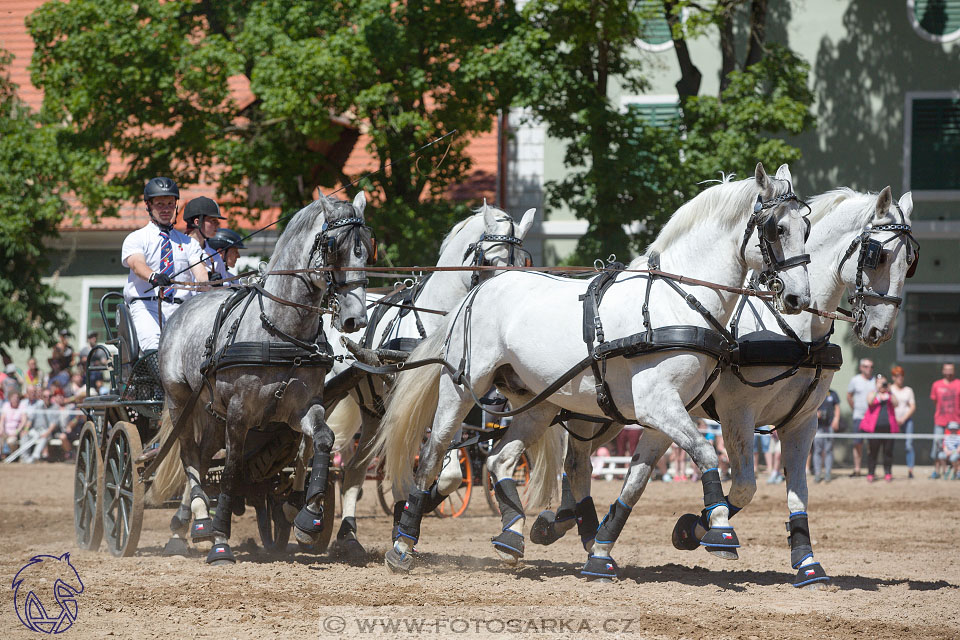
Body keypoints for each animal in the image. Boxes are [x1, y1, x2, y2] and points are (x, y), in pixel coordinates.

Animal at [374, 162, 808, 572]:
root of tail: (479, 290)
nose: (798, 297)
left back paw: (511, 536)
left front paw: (601, 550)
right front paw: (719, 528)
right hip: (462, 388)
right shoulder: (658, 405)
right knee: (433, 454)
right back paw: (403, 544)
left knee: (500, 459)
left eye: (806, 227)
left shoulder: (664, 415)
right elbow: (704, 453)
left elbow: (636, 481)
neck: (675, 301)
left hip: (539, 402)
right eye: (777, 228)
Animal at [536, 185, 920, 584]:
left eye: (910, 261)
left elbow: (798, 492)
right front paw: (695, 528)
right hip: (603, 409)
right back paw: (567, 523)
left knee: (579, 460)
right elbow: (746, 485)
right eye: (877, 255)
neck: (791, 330)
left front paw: (807, 562)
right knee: (578, 458)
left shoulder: (804, 421)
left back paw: (565, 523)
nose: (879, 330)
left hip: (612, 411)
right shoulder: (738, 412)